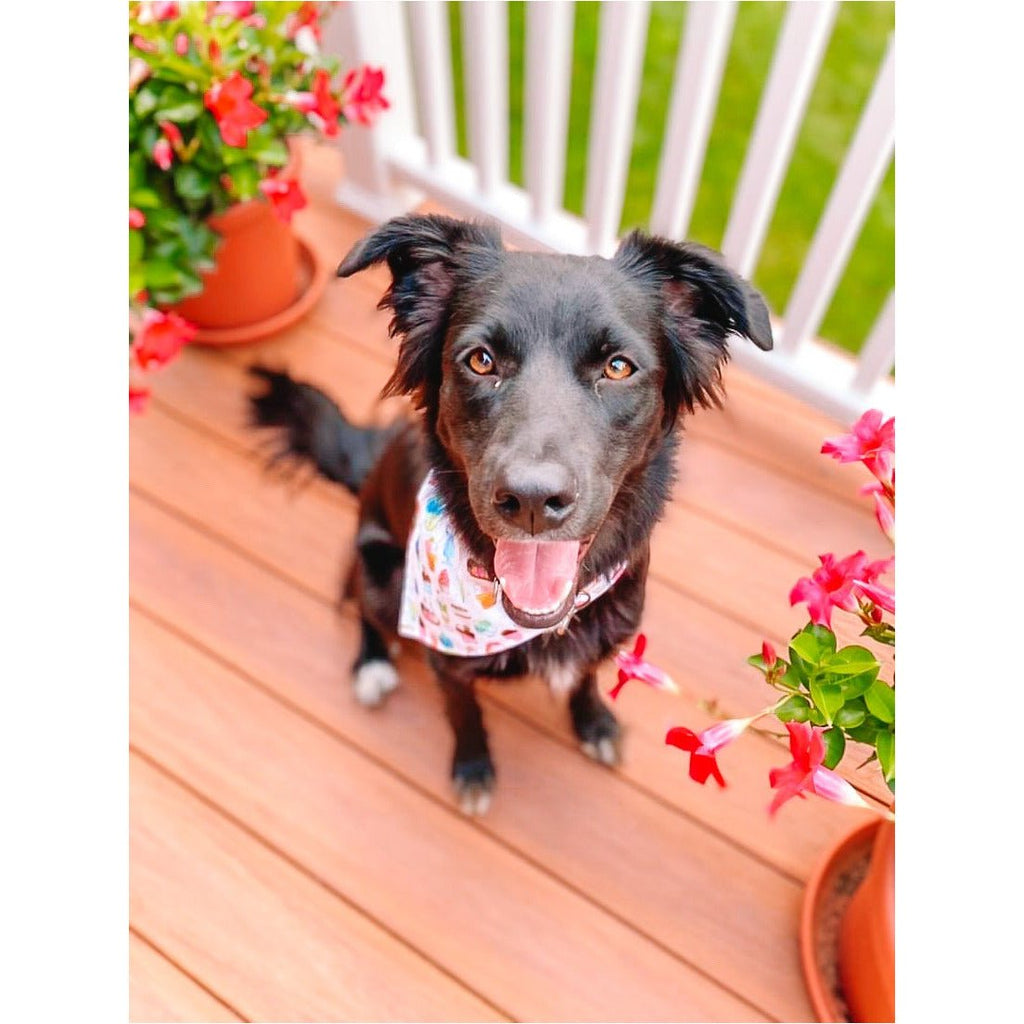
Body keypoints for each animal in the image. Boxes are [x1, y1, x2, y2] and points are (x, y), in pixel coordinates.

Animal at [251, 214, 770, 815]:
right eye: (481, 361)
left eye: (618, 367)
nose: (531, 501)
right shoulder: (447, 662)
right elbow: (464, 712)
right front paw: (474, 767)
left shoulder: (611, 626)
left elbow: (586, 675)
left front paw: (594, 722)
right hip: (384, 570)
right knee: (360, 599)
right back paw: (372, 666)